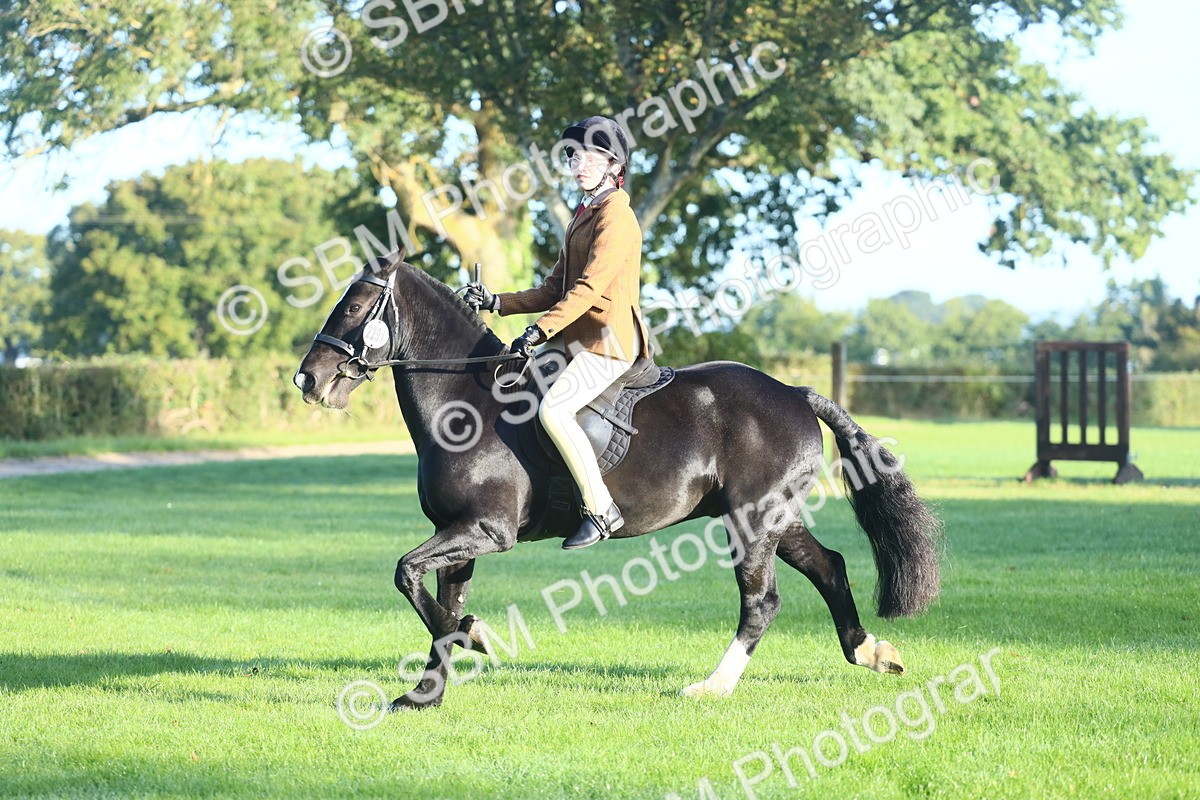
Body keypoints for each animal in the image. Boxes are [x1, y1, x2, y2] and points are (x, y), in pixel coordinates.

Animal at [293, 249, 941, 710]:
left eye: (354, 307)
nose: (308, 380)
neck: (466, 404)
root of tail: (794, 393)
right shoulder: (459, 534)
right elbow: (438, 606)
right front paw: (426, 693)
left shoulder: (485, 529)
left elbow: (409, 578)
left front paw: (477, 636)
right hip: (773, 516)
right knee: (829, 566)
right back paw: (871, 652)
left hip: (752, 522)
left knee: (762, 601)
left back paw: (712, 687)